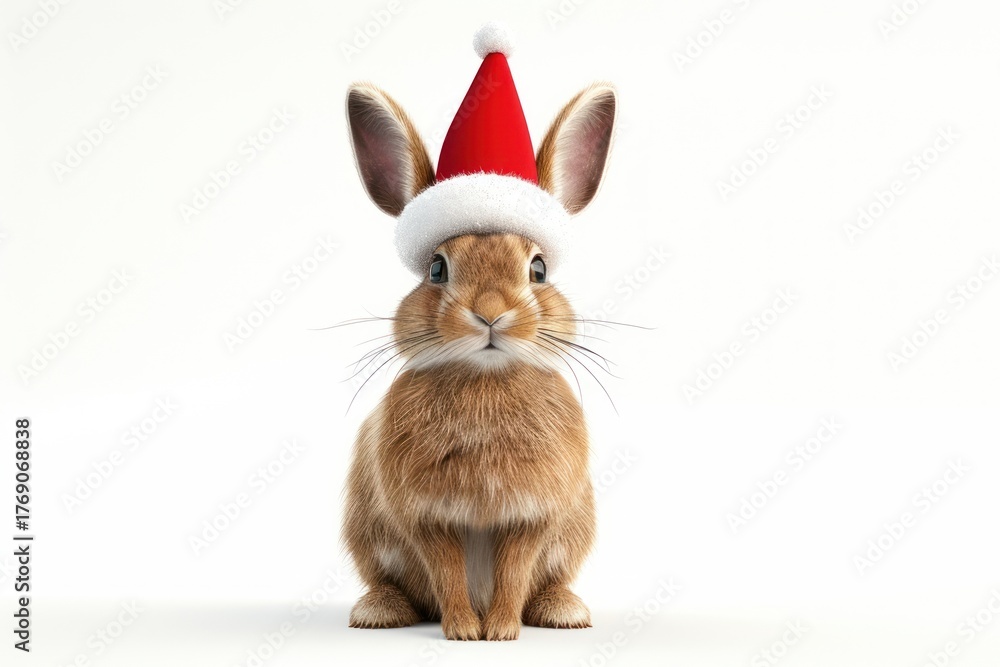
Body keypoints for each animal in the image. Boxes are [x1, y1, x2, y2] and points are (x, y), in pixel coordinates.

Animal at [341, 40, 617, 641]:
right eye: (437, 268)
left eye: (538, 269)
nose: (490, 313)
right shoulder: (426, 517)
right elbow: (445, 573)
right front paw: (465, 632)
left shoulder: (533, 516)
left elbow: (515, 572)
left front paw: (503, 632)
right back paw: (377, 613)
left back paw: (564, 612)